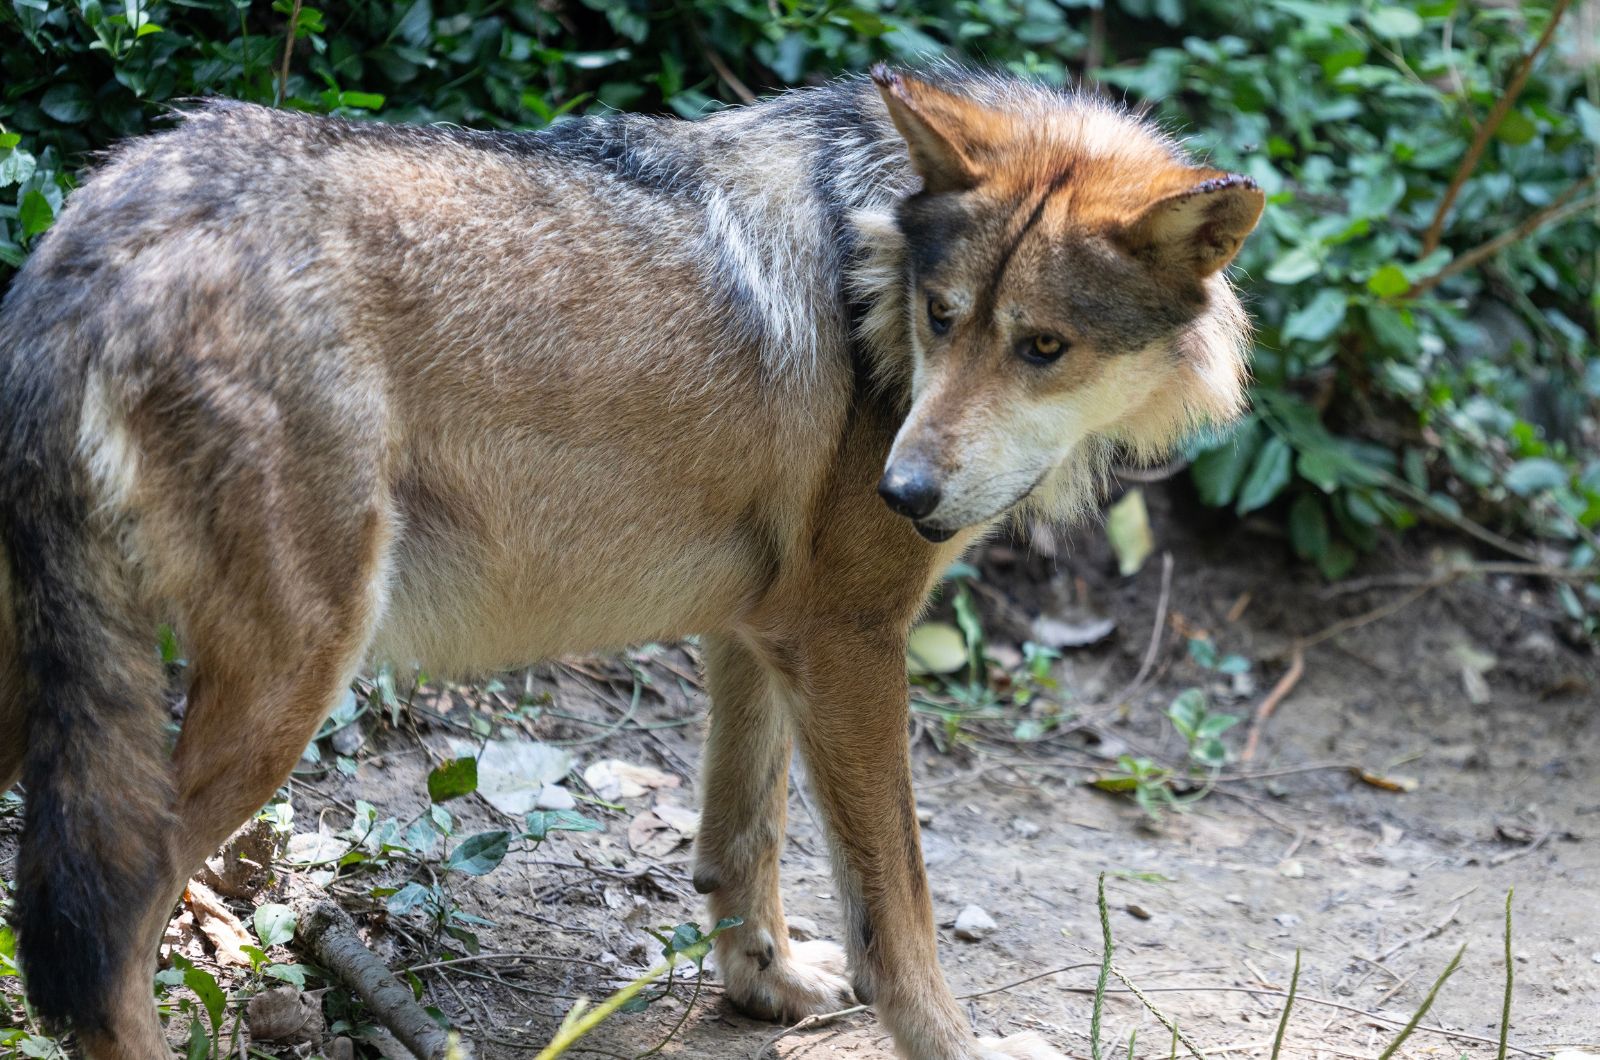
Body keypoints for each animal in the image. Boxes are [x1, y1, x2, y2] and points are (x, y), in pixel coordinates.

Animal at [0, 68, 1260, 1060]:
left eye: (1041, 346)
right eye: (944, 317)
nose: (902, 495)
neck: (867, 270)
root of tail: (86, 238)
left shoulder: (763, 630)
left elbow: (742, 838)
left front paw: (765, 985)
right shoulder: (852, 636)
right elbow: (898, 907)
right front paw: (951, 1041)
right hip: (287, 683)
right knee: (105, 937)